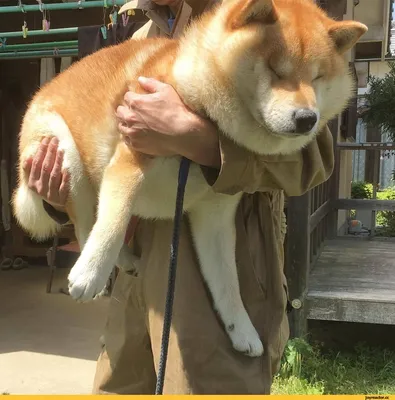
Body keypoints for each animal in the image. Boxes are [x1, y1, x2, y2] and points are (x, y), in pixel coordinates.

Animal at [13, 0, 368, 356]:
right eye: (276, 70)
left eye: (318, 77)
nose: (308, 118)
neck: (202, 109)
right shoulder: (130, 160)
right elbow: (113, 222)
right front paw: (90, 273)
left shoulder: (215, 215)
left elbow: (227, 282)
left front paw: (242, 331)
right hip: (66, 153)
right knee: (86, 223)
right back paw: (102, 265)